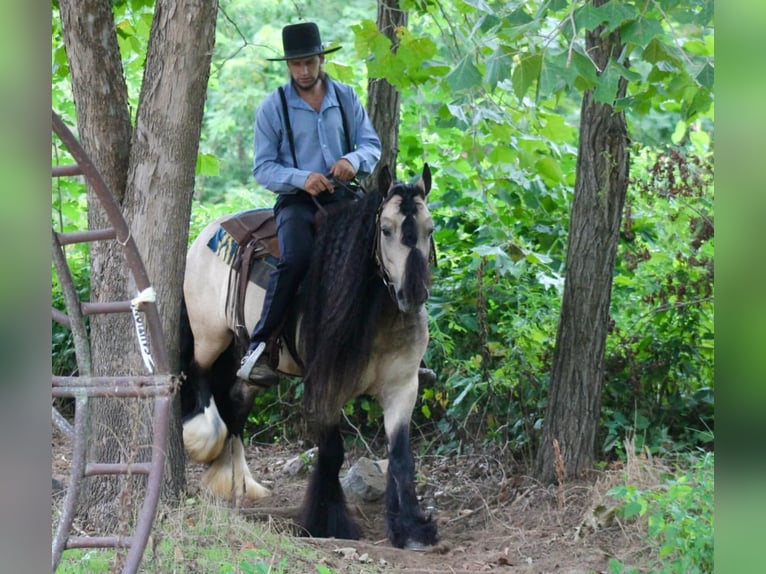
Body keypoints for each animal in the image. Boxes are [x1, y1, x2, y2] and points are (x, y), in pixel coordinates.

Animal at [181, 164, 440, 552]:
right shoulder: (326, 387)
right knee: (200, 375)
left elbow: (400, 456)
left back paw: (236, 481)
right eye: (385, 229)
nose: (413, 294)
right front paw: (327, 521)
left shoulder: (402, 386)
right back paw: (203, 443)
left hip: (248, 357)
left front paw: (411, 528)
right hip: (210, 336)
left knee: (238, 402)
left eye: (430, 228)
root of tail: (208, 233)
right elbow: (332, 451)